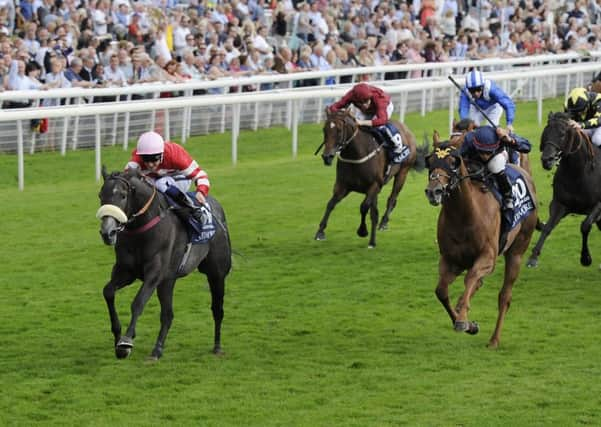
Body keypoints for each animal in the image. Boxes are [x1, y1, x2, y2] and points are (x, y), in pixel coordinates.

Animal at [97, 168, 231, 362]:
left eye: (122, 195)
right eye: (101, 195)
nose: (107, 232)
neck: (142, 229)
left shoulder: (155, 273)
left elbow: (138, 302)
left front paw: (126, 342)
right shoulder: (126, 271)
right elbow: (108, 292)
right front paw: (117, 336)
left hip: (216, 273)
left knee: (217, 309)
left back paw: (217, 347)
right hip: (168, 281)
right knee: (168, 314)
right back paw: (157, 349)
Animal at [316, 108, 424, 249]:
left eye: (339, 130)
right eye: (324, 130)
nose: (326, 156)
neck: (356, 154)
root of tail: (407, 129)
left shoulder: (374, 186)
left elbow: (364, 207)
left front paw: (363, 231)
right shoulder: (342, 186)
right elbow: (330, 204)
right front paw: (320, 231)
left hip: (402, 173)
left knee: (392, 199)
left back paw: (383, 223)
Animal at [424, 145, 536, 350]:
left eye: (453, 163)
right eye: (431, 161)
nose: (433, 191)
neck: (465, 214)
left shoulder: (487, 258)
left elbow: (470, 279)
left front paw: (462, 320)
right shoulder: (450, 260)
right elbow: (441, 291)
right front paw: (469, 325)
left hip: (517, 251)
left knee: (504, 296)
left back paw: (494, 340)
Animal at [524, 112, 600, 270]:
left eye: (563, 134)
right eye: (546, 131)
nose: (547, 160)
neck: (578, 173)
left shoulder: (598, 206)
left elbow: (585, 226)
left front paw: (585, 258)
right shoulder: (559, 203)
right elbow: (548, 227)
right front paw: (533, 257)